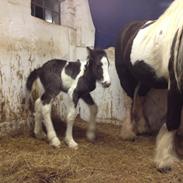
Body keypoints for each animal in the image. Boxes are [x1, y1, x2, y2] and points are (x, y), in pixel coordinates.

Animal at [115, 0, 183, 172]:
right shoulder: (175, 86)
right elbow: (172, 120)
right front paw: (165, 161)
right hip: (126, 78)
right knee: (130, 101)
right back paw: (128, 133)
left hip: (146, 79)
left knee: (140, 97)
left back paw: (143, 127)